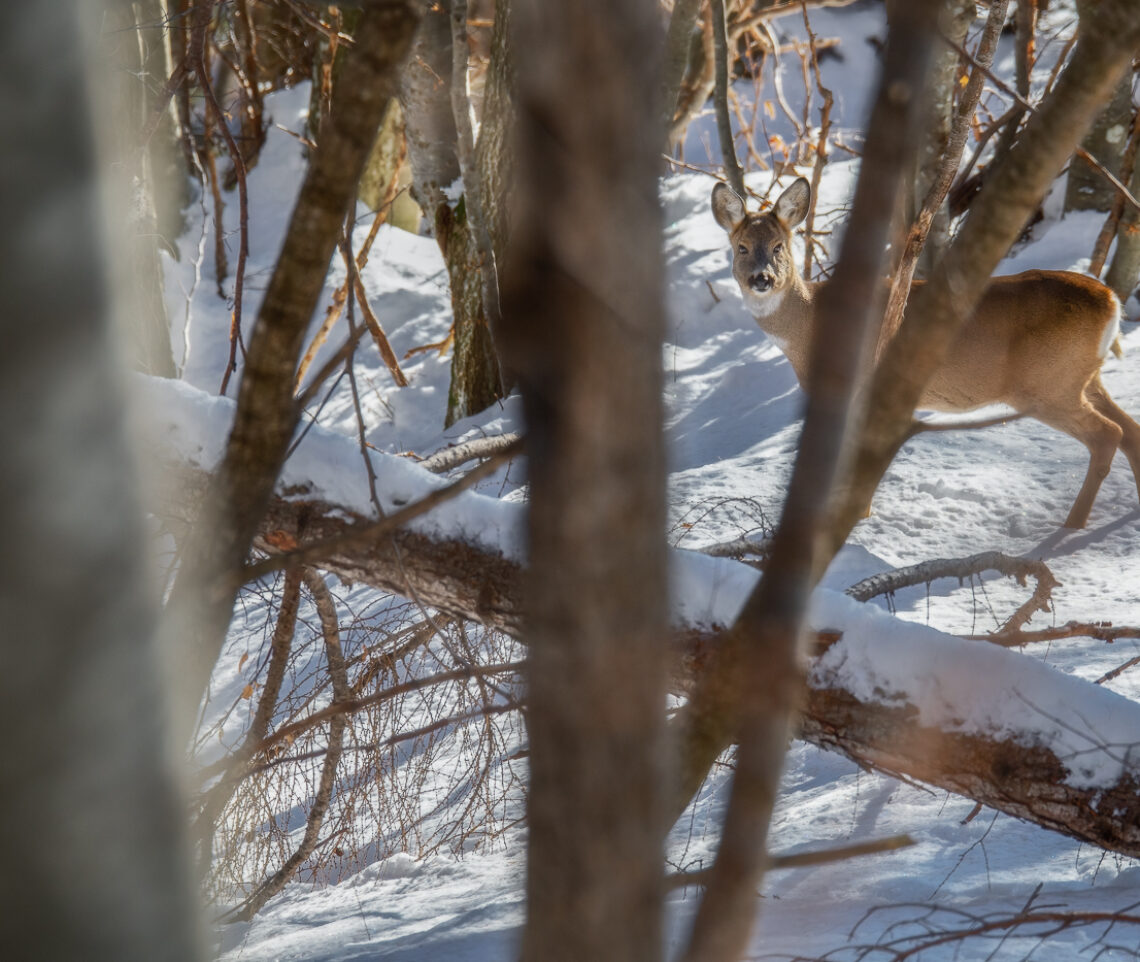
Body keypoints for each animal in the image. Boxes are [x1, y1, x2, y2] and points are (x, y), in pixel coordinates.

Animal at [711, 176, 1140, 528]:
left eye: (779, 246)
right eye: (742, 247)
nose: (762, 279)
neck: (815, 323)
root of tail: (1111, 300)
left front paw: (855, 519)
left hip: (1046, 385)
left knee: (1108, 434)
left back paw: (1070, 527)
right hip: (1082, 378)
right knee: (1129, 430)